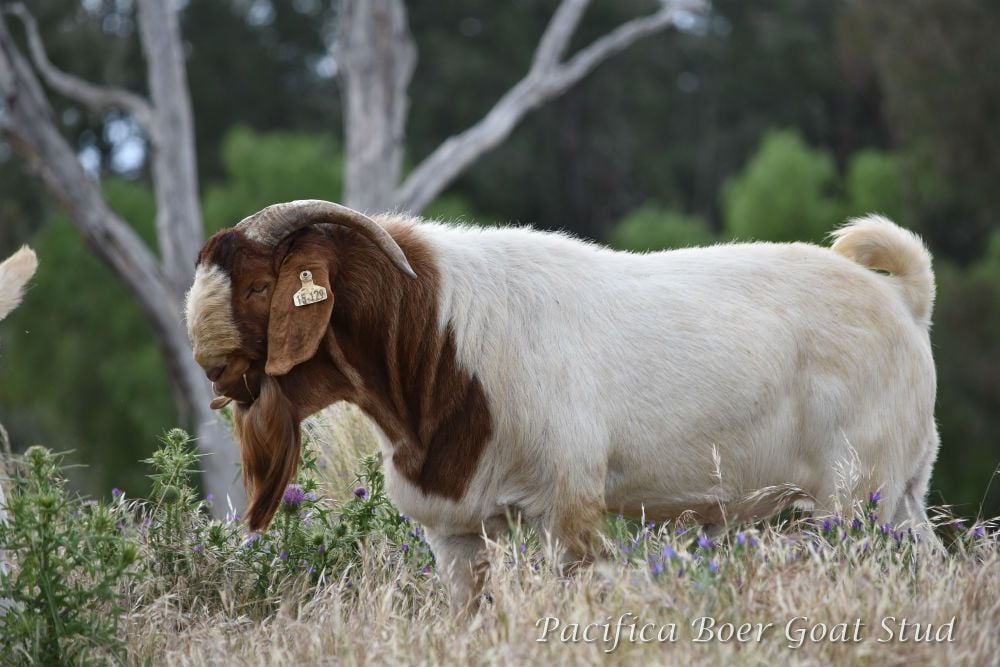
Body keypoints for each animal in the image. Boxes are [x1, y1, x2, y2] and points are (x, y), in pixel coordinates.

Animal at [184, 201, 939, 611]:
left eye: (258, 287)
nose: (207, 361)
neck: (439, 332)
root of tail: (902, 298)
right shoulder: (455, 531)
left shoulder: (567, 510)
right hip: (902, 493)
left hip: (853, 496)